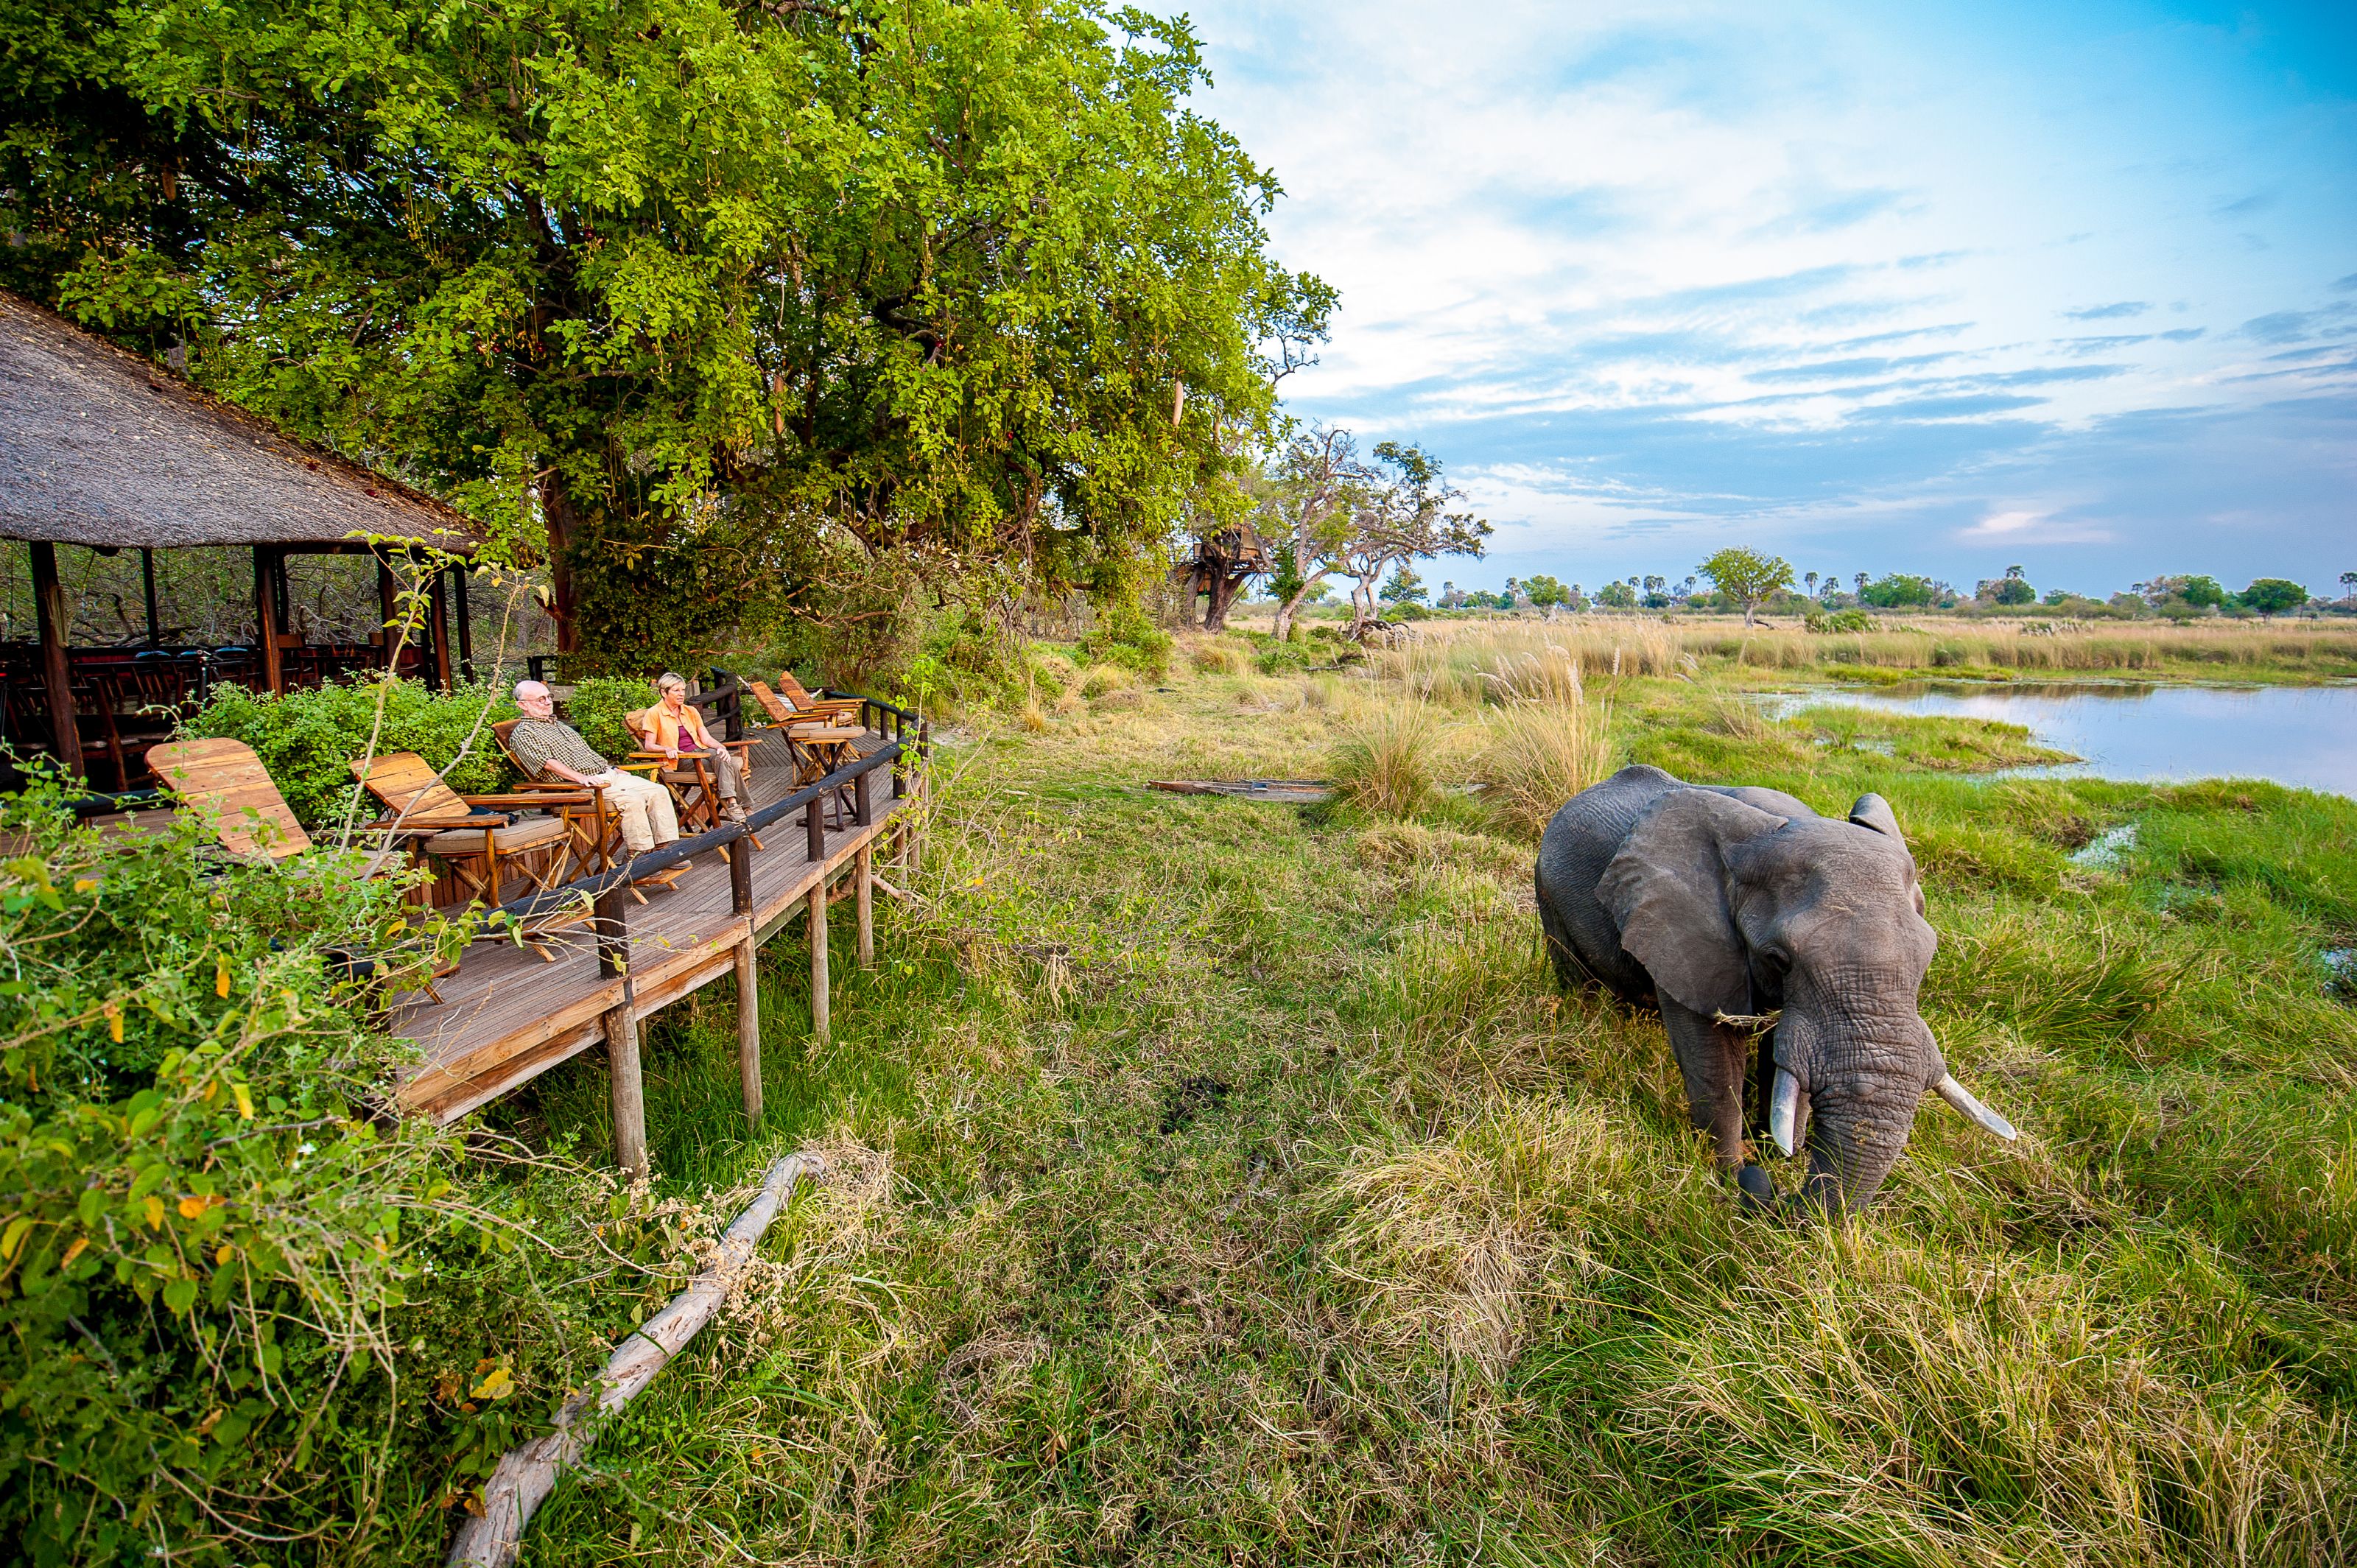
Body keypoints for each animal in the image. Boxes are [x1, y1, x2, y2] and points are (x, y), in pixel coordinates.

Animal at [1535, 764, 2015, 1216]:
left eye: (1929, 954)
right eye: (1779, 958)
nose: (1774, 1191)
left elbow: (1784, 1058)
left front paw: (1778, 1152)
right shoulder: (1682, 930)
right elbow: (1713, 1055)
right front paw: (1731, 1174)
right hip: (1548, 891)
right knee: (1576, 978)